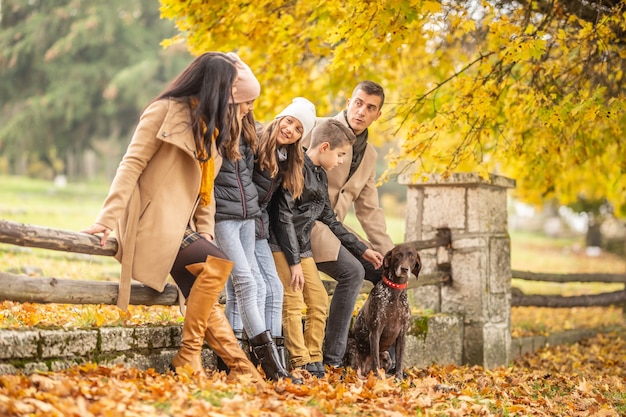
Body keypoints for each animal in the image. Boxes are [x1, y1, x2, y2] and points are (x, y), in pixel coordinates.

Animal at [344, 242, 422, 378]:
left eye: (411, 256)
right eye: (398, 255)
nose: (404, 269)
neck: (395, 292)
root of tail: (365, 370)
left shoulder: (402, 334)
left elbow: (400, 362)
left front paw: (399, 378)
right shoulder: (375, 332)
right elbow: (376, 362)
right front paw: (379, 379)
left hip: (386, 356)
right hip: (352, 345)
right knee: (355, 369)